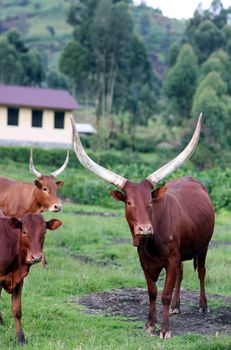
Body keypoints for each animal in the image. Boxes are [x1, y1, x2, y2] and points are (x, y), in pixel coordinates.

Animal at [0, 212, 62, 344]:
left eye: (44, 232)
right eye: (24, 232)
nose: (36, 257)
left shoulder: (19, 280)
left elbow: (17, 310)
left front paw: (21, 338)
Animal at [69, 113, 216, 338]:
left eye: (149, 201)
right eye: (129, 202)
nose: (145, 229)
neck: (151, 243)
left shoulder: (171, 259)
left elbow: (164, 294)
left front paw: (165, 330)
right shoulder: (145, 262)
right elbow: (152, 292)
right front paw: (149, 325)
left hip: (204, 246)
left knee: (201, 271)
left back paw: (202, 305)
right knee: (182, 274)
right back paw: (176, 306)